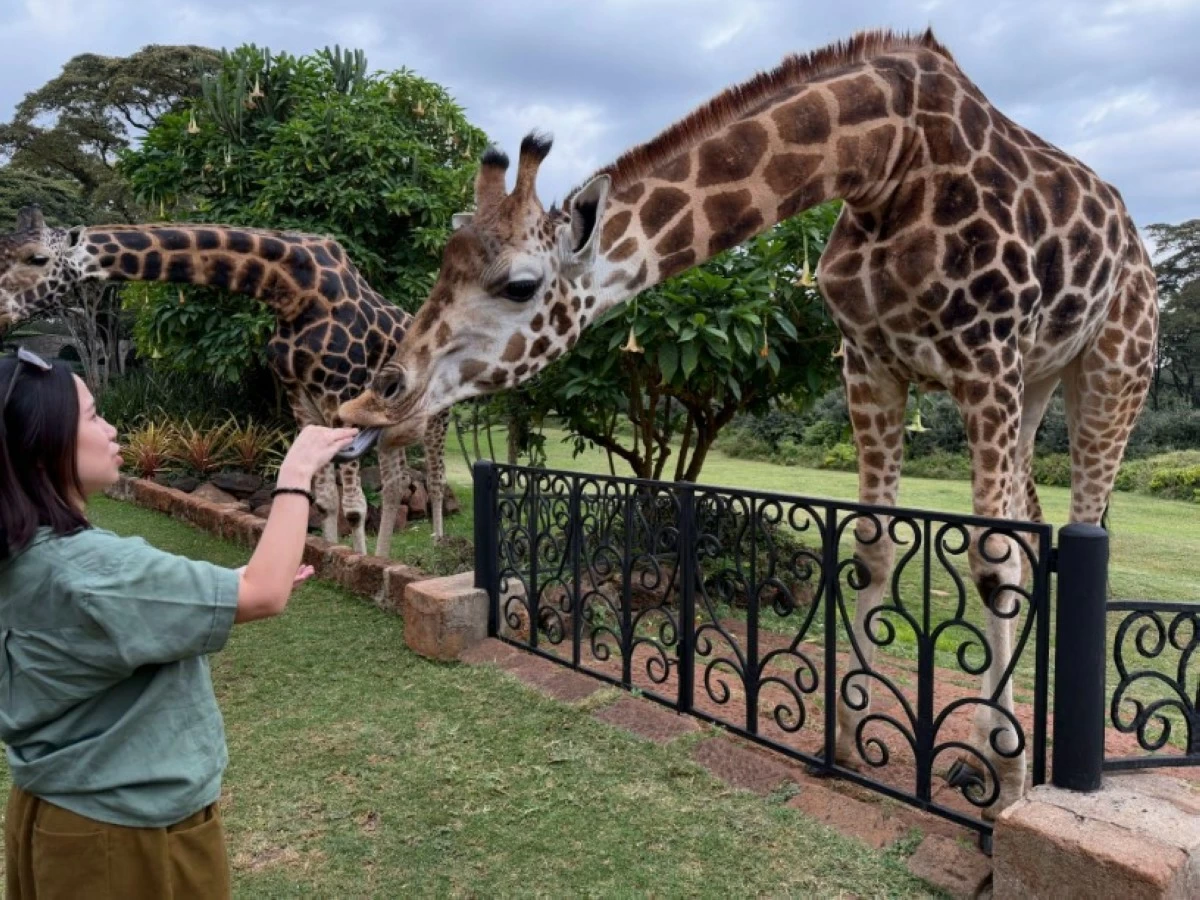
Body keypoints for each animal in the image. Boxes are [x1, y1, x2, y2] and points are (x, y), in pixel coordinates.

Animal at [0, 206, 449, 554]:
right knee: (395, 484)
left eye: (37, 258)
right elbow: (326, 502)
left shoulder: (341, 393)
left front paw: (357, 565)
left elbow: (355, 509)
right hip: (390, 430)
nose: (2, 313)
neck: (293, 291)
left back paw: (436, 545)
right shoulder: (302, 399)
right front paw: (341, 557)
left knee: (436, 479)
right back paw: (387, 556)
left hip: (437, 419)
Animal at [338, 28, 1158, 815]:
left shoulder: (985, 358)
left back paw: (1008, 754)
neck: (882, 163)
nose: (374, 398)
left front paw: (1008, 776)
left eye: (519, 285)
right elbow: (873, 546)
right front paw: (851, 736)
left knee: (1083, 515)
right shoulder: (869, 363)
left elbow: (992, 560)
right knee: (1035, 514)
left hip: (1111, 368)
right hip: (1039, 377)